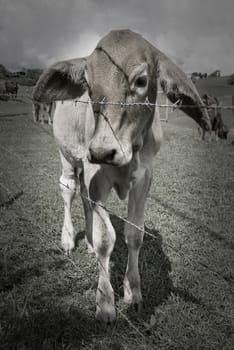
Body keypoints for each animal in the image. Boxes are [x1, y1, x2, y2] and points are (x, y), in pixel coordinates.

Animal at [33, 28, 210, 324]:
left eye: (141, 81)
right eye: (88, 84)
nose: (103, 151)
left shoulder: (144, 179)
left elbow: (134, 234)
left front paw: (133, 292)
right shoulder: (97, 175)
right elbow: (107, 239)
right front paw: (105, 303)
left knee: (84, 199)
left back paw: (88, 243)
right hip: (67, 156)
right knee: (68, 190)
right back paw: (68, 240)